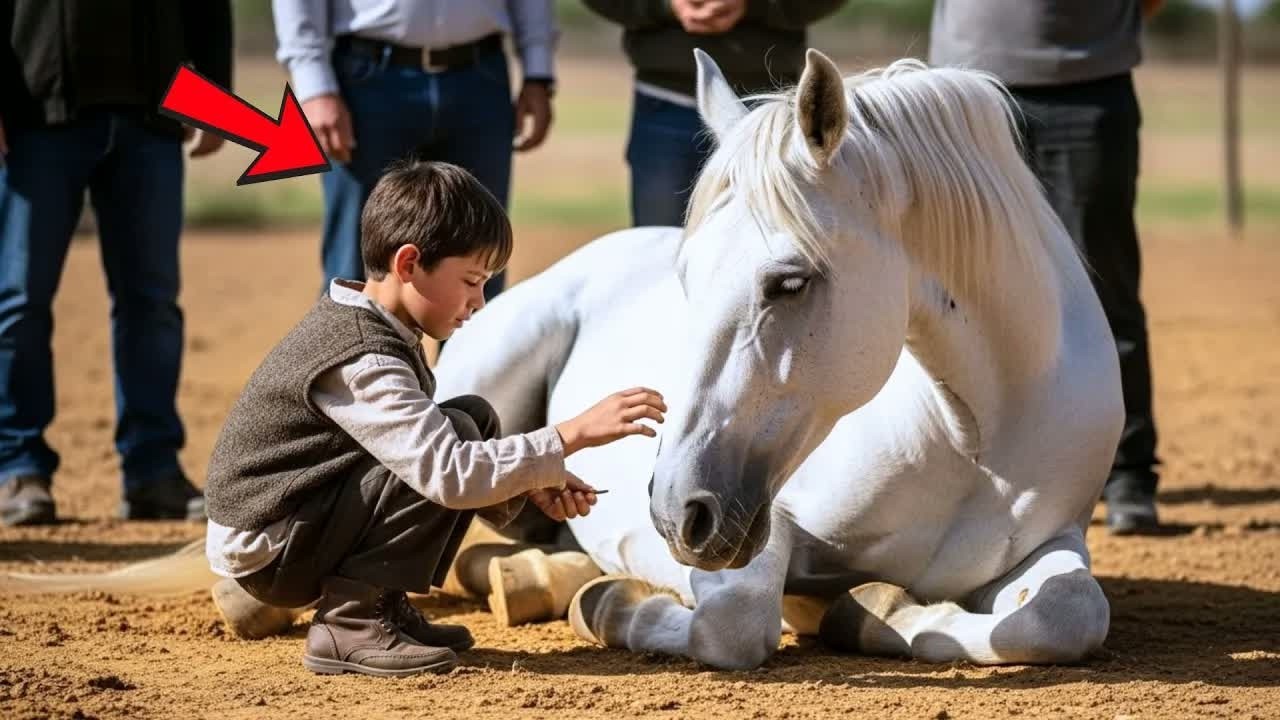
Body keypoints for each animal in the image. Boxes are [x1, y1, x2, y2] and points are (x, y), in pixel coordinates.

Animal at [432, 49, 1123, 670]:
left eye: (791, 282)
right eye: (685, 276)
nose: (675, 511)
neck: (970, 440)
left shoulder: (1054, 541)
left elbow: (1066, 613)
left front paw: (876, 609)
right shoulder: (768, 525)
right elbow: (734, 624)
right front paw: (611, 605)